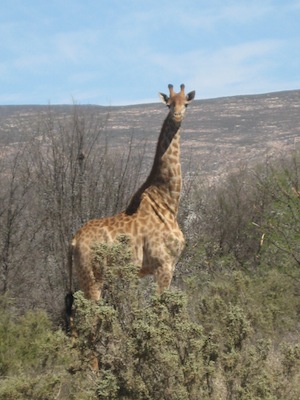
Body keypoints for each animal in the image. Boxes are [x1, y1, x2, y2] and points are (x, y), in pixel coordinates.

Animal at [67, 83, 196, 304]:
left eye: (186, 103)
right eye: (168, 104)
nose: (177, 115)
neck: (168, 202)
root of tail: (73, 242)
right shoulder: (164, 265)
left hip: (85, 276)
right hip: (92, 276)